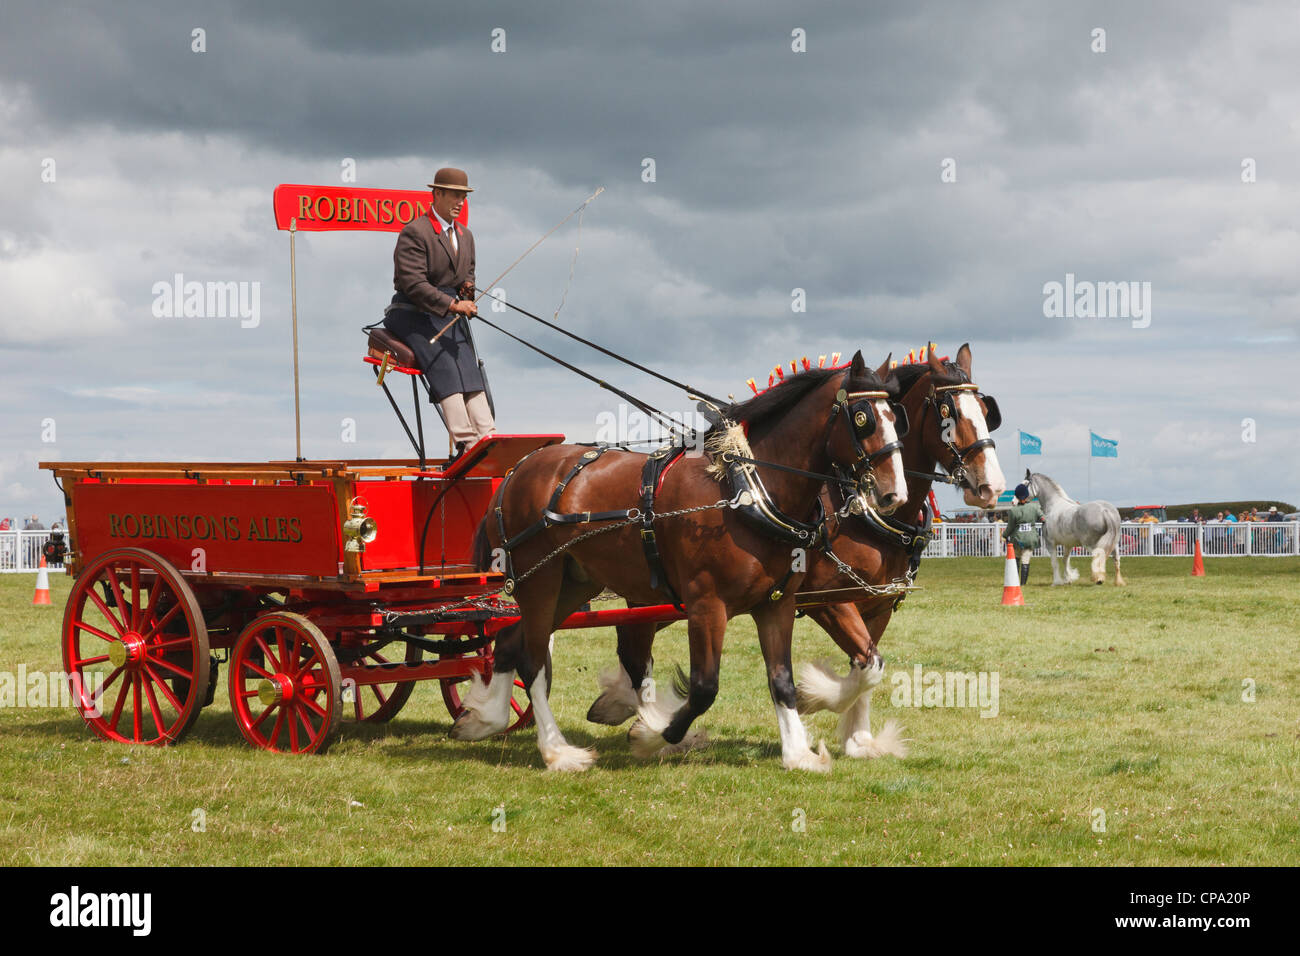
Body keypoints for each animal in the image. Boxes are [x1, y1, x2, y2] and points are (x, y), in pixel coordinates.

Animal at [462, 351, 909, 770]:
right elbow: (703, 688)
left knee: (510, 641)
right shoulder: (706, 605)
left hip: (573, 584)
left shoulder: (777, 604)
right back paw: (556, 751)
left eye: (896, 417)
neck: (747, 490)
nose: (895, 494)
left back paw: (485, 718)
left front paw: (798, 751)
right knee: (535, 660)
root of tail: (516, 473)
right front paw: (653, 734)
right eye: (863, 417)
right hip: (539, 580)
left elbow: (783, 680)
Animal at [587, 343, 1003, 754]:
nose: (992, 486)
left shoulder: (879, 606)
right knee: (634, 647)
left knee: (633, 643)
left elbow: (868, 667)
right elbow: (864, 667)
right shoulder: (829, 601)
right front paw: (815, 697)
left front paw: (859, 738)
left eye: (986, 413)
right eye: (947, 413)